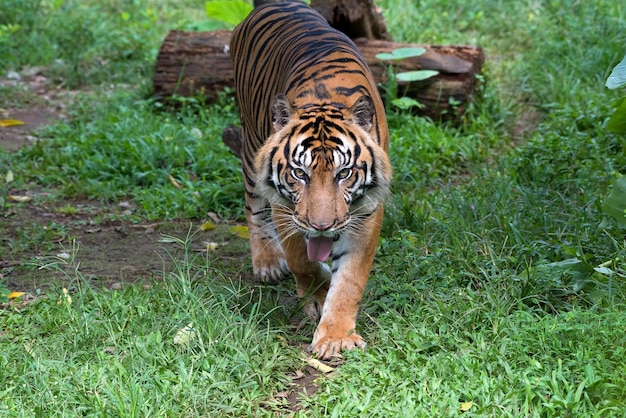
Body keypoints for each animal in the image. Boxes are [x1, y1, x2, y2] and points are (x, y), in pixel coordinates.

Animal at [229, 0, 390, 360]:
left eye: (344, 174)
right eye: (299, 174)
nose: (321, 226)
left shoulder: (367, 212)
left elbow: (350, 279)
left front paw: (336, 336)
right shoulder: (283, 207)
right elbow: (300, 258)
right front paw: (317, 295)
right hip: (250, 146)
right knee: (253, 205)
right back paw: (267, 262)